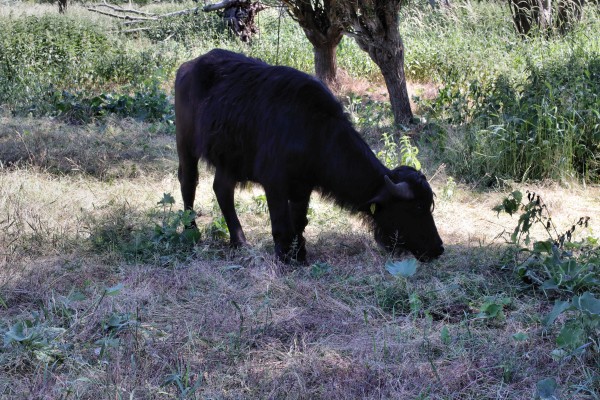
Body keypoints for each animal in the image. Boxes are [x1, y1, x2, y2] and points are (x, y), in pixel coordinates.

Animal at [176, 48, 442, 262]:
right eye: (417, 208)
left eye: (429, 205)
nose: (438, 248)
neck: (313, 132)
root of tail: (189, 66)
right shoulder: (274, 184)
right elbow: (280, 222)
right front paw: (285, 257)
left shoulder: (303, 187)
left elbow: (299, 221)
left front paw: (300, 254)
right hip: (185, 144)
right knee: (189, 181)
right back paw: (191, 230)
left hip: (229, 159)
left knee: (222, 189)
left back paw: (239, 240)